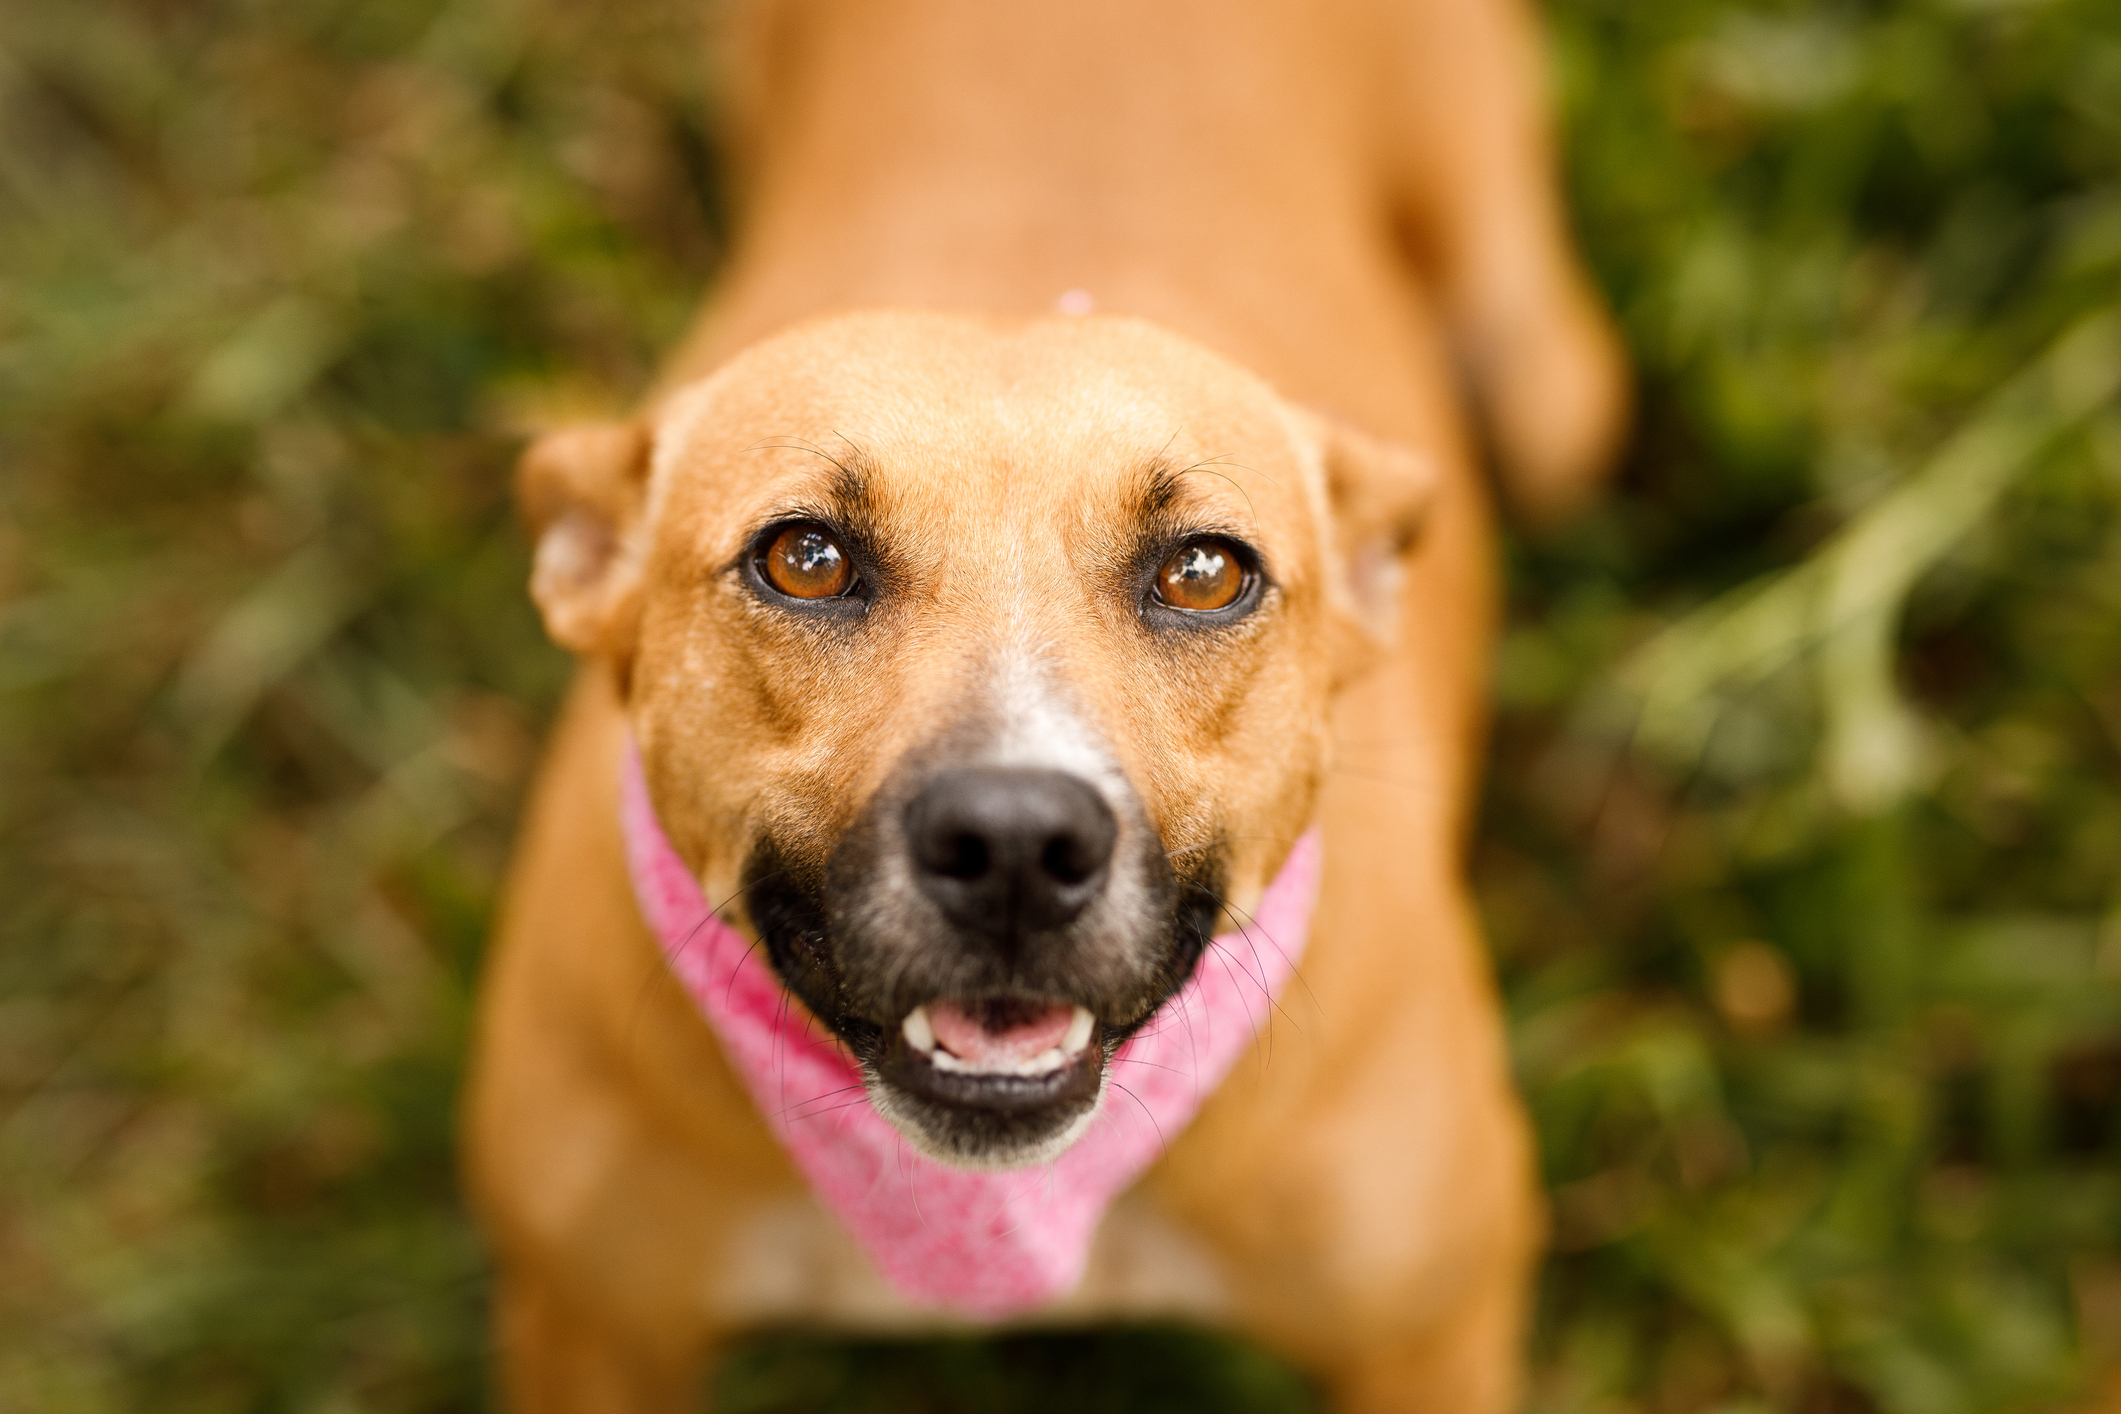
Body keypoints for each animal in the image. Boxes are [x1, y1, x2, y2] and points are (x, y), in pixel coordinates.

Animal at [464, 0, 1620, 1407]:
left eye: (1204, 571)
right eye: (804, 558)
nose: (1015, 843)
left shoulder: (1427, 1334)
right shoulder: (590, 1327)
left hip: (1548, 387)